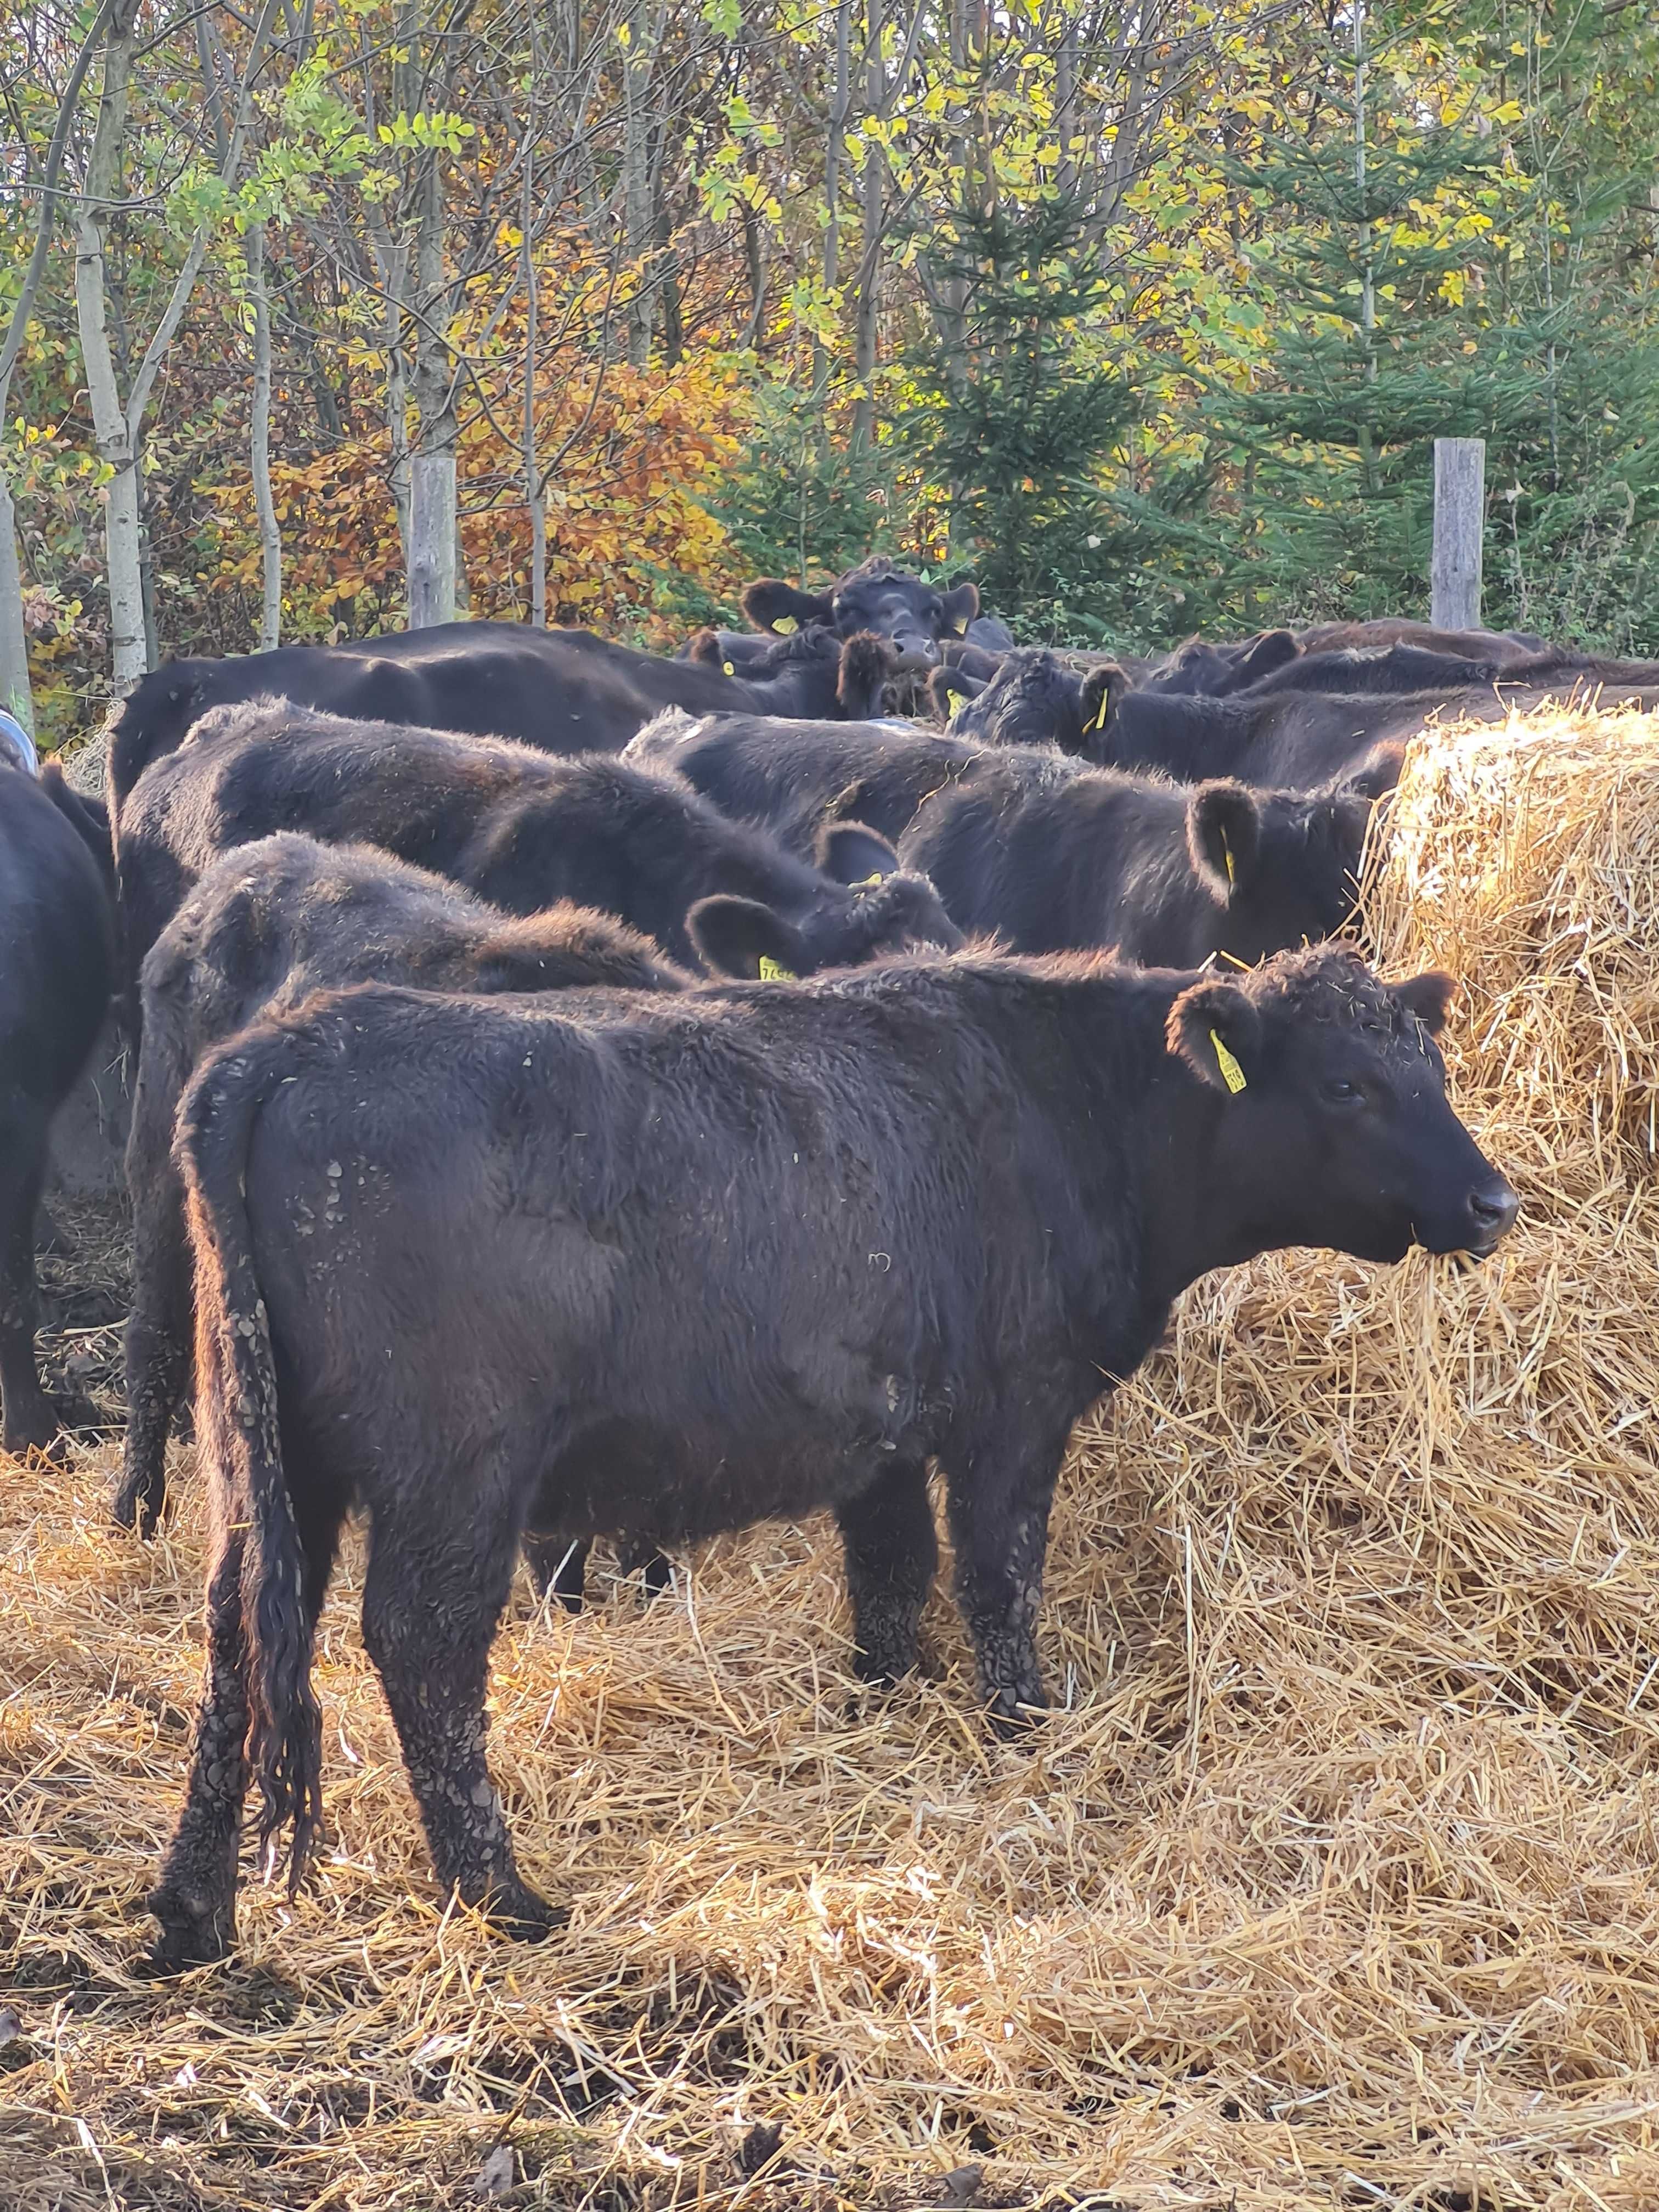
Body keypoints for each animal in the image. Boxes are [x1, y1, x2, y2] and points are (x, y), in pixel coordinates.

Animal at [153, 942, 1522, 1964]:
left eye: (1432, 1066)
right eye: (1345, 1085)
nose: (1494, 1202)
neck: (1069, 1104)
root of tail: (299, 1039)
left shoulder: (884, 1441)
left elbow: (892, 1586)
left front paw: (879, 1712)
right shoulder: (1010, 1420)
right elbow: (999, 1585)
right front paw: (1026, 1731)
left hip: (267, 1459)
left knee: (237, 1632)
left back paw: (191, 1914)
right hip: (456, 1473)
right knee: (422, 1643)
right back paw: (501, 1899)